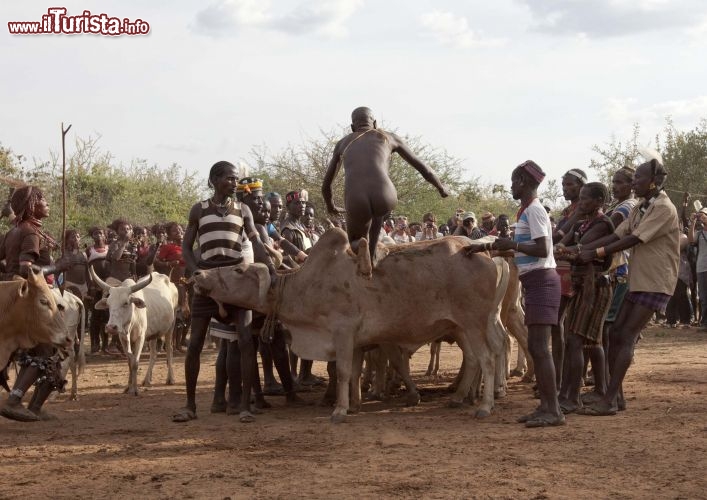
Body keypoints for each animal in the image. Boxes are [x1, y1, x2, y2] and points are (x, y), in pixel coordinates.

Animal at [191, 229, 506, 422]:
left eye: (238, 269)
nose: (198, 274)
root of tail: (484, 254)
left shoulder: (341, 332)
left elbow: (342, 372)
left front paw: (340, 410)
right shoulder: (357, 341)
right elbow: (354, 372)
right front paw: (354, 404)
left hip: (472, 323)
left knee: (487, 359)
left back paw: (484, 405)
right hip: (472, 325)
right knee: (484, 355)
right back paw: (466, 397)